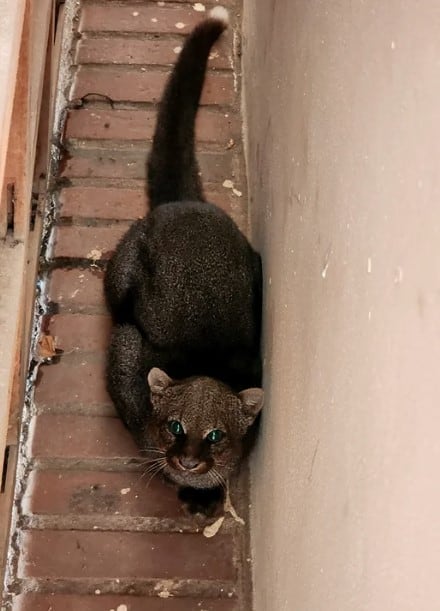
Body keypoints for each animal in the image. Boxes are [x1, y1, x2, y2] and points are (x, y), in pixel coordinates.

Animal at [104, 7, 262, 516]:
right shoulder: (125, 353)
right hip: (120, 278)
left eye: (215, 436)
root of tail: (186, 203)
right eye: (175, 426)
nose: (189, 461)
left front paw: (206, 492)